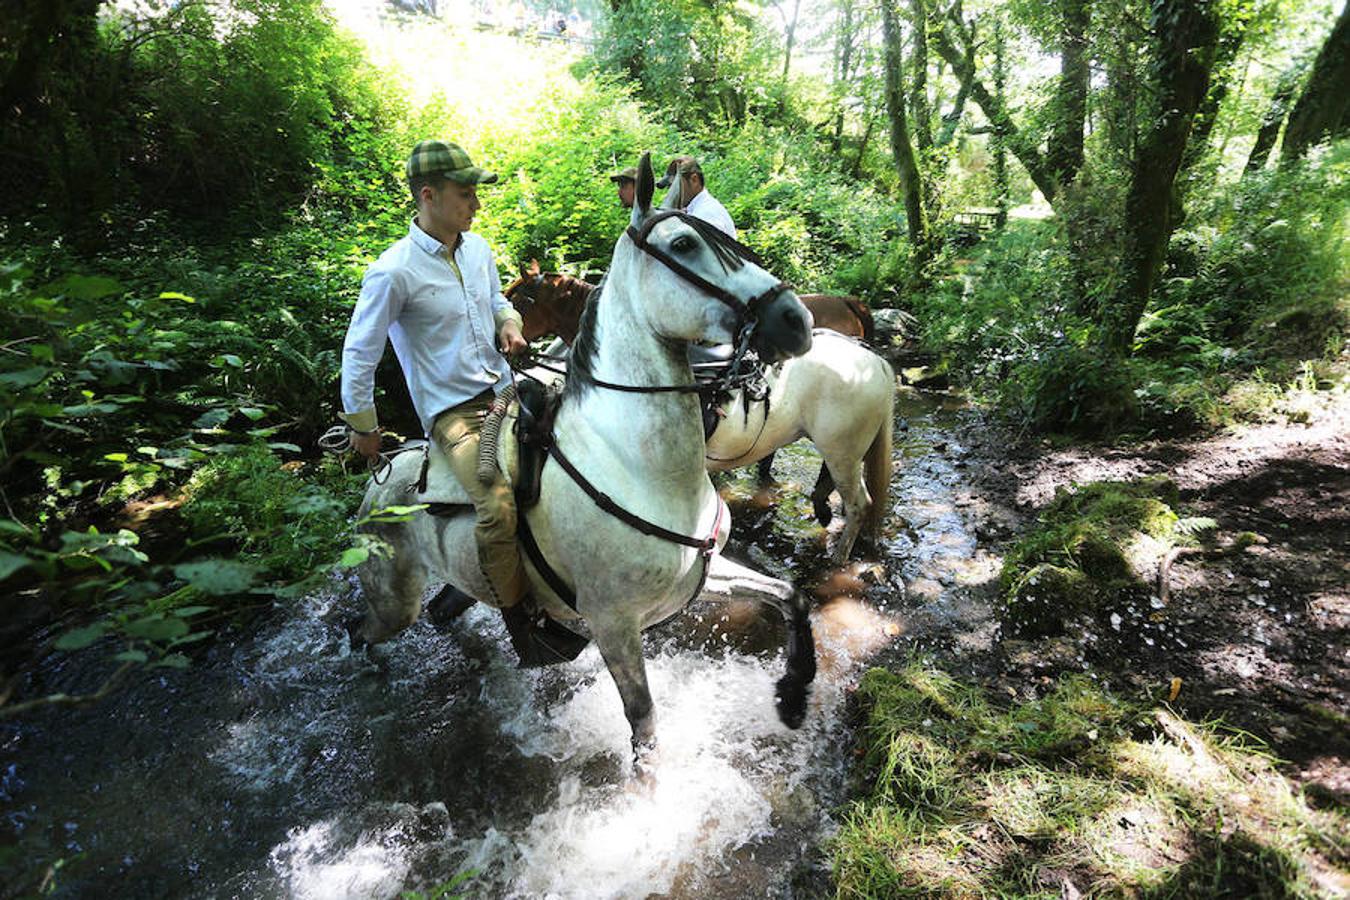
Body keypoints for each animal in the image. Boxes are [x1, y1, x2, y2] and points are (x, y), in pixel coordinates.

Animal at [348, 153, 810, 766]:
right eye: (684, 244)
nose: (796, 319)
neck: (638, 468)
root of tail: (380, 476)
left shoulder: (701, 579)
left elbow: (791, 596)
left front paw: (794, 697)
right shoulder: (613, 624)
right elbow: (644, 723)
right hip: (393, 597)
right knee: (361, 631)